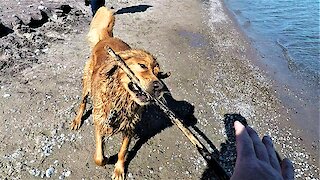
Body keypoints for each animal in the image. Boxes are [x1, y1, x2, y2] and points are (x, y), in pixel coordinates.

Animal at [70, 6, 168, 179]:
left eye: (158, 74)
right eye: (142, 66)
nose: (160, 87)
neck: (121, 98)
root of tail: (107, 38)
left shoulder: (130, 126)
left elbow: (123, 151)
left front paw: (119, 169)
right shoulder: (100, 120)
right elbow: (99, 158)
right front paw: (106, 158)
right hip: (87, 82)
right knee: (82, 102)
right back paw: (77, 120)